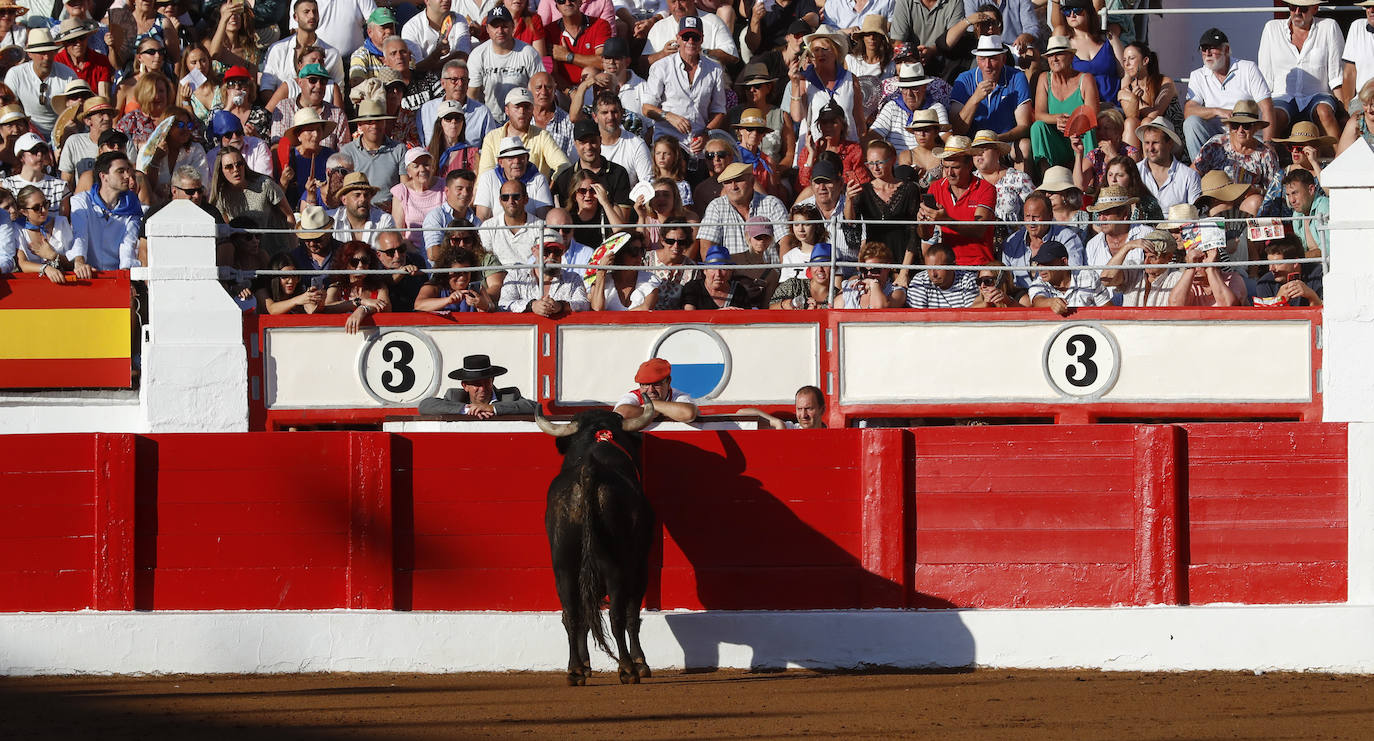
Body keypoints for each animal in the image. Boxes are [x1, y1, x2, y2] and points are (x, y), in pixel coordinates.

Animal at [533, 404, 656, 687]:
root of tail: (589, 473)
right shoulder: (640, 564)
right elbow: (631, 614)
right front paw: (641, 663)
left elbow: (584, 615)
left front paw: (586, 665)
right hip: (615, 566)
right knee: (617, 615)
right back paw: (627, 669)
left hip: (563, 566)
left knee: (571, 614)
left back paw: (575, 670)